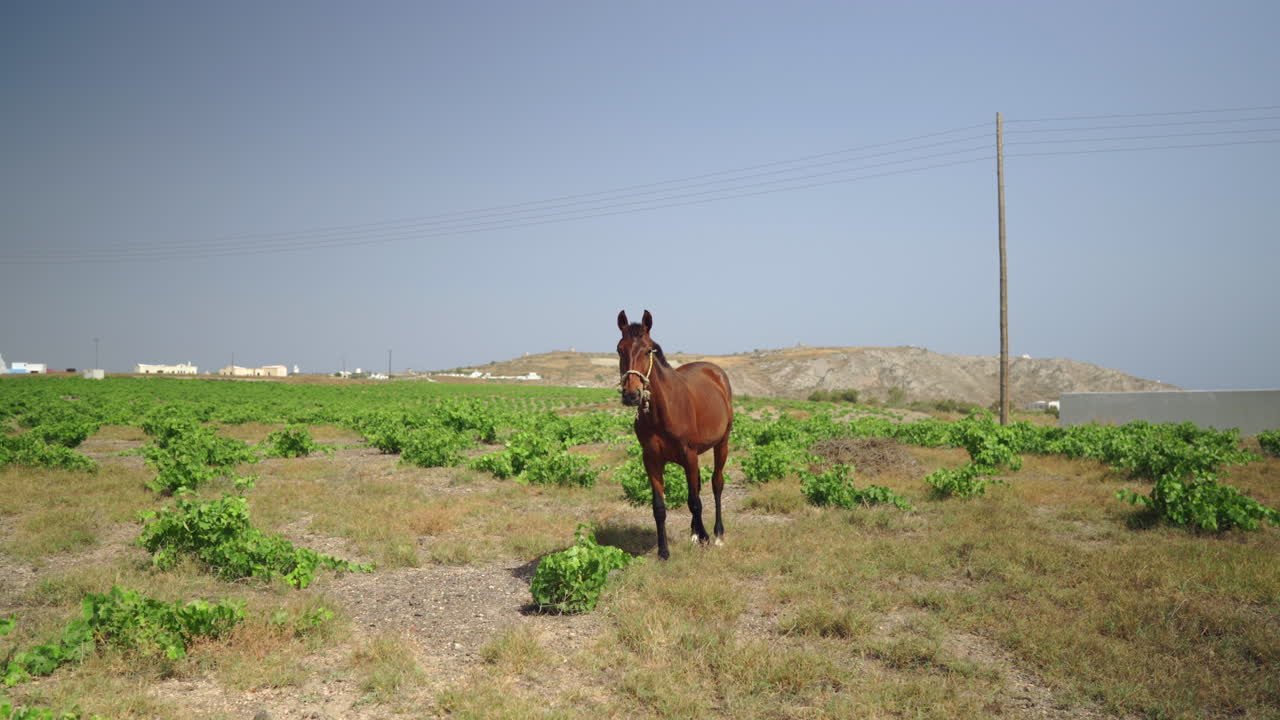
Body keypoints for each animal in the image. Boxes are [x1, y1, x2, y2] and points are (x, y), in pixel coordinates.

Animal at [617, 310, 734, 560]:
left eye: (648, 350)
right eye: (620, 349)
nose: (631, 395)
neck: (662, 411)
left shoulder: (688, 454)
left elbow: (694, 501)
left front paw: (705, 537)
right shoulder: (651, 459)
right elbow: (659, 507)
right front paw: (664, 551)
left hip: (722, 443)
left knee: (716, 483)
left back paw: (718, 534)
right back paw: (694, 533)